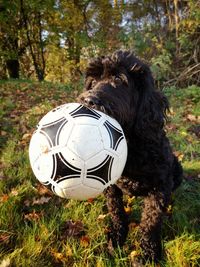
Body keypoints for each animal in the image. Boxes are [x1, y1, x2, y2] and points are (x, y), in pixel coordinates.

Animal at [78, 50, 183, 264]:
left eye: (118, 79)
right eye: (93, 81)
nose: (88, 101)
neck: (129, 147)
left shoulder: (160, 186)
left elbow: (151, 221)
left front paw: (149, 252)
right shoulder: (109, 185)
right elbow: (116, 211)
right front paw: (116, 238)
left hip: (176, 168)